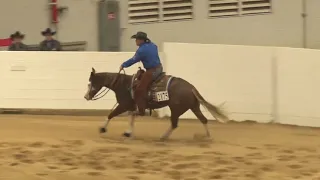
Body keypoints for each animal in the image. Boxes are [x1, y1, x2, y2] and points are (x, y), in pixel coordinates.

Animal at [83, 67, 228, 141]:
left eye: (90, 83)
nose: (86, 96)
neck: (123, 84)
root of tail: (191, 87)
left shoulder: (123, 105)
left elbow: (111, 115)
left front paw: (102, 128)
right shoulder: (130, 107)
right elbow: (131, 118)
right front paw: (129, 132)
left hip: (176, 109)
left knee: (174, 124)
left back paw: (163, 136)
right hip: (193, 107)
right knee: (203, 120)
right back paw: (206, 137)